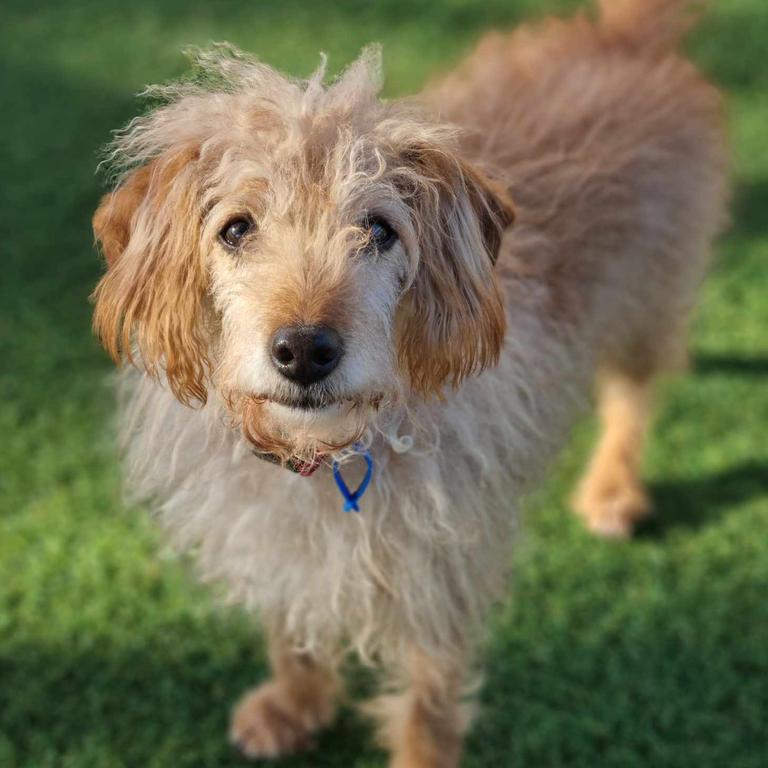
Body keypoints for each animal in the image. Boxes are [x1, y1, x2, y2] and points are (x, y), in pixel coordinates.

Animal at [90, 0, 728, 764]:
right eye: (237, 229)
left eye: (378, 229)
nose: (304, 350)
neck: (331, 452)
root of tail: (622, 37)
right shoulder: (275, 535)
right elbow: (291, 620)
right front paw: (295, 701)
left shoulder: (441, 565)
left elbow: (428, 694)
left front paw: (419, 750)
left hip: (649, 292)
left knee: (634, 393)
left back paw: (612, 488)